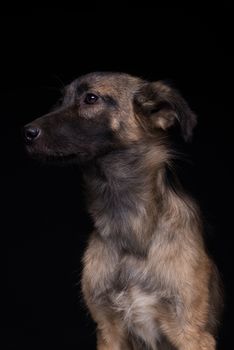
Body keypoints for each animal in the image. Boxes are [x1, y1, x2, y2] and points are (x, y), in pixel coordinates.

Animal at [23, 72, 223, 348]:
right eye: (61, 100)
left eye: (91, 98)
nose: (26, 133)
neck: (130, 227)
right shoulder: (108, 330)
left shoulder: (191, 332)